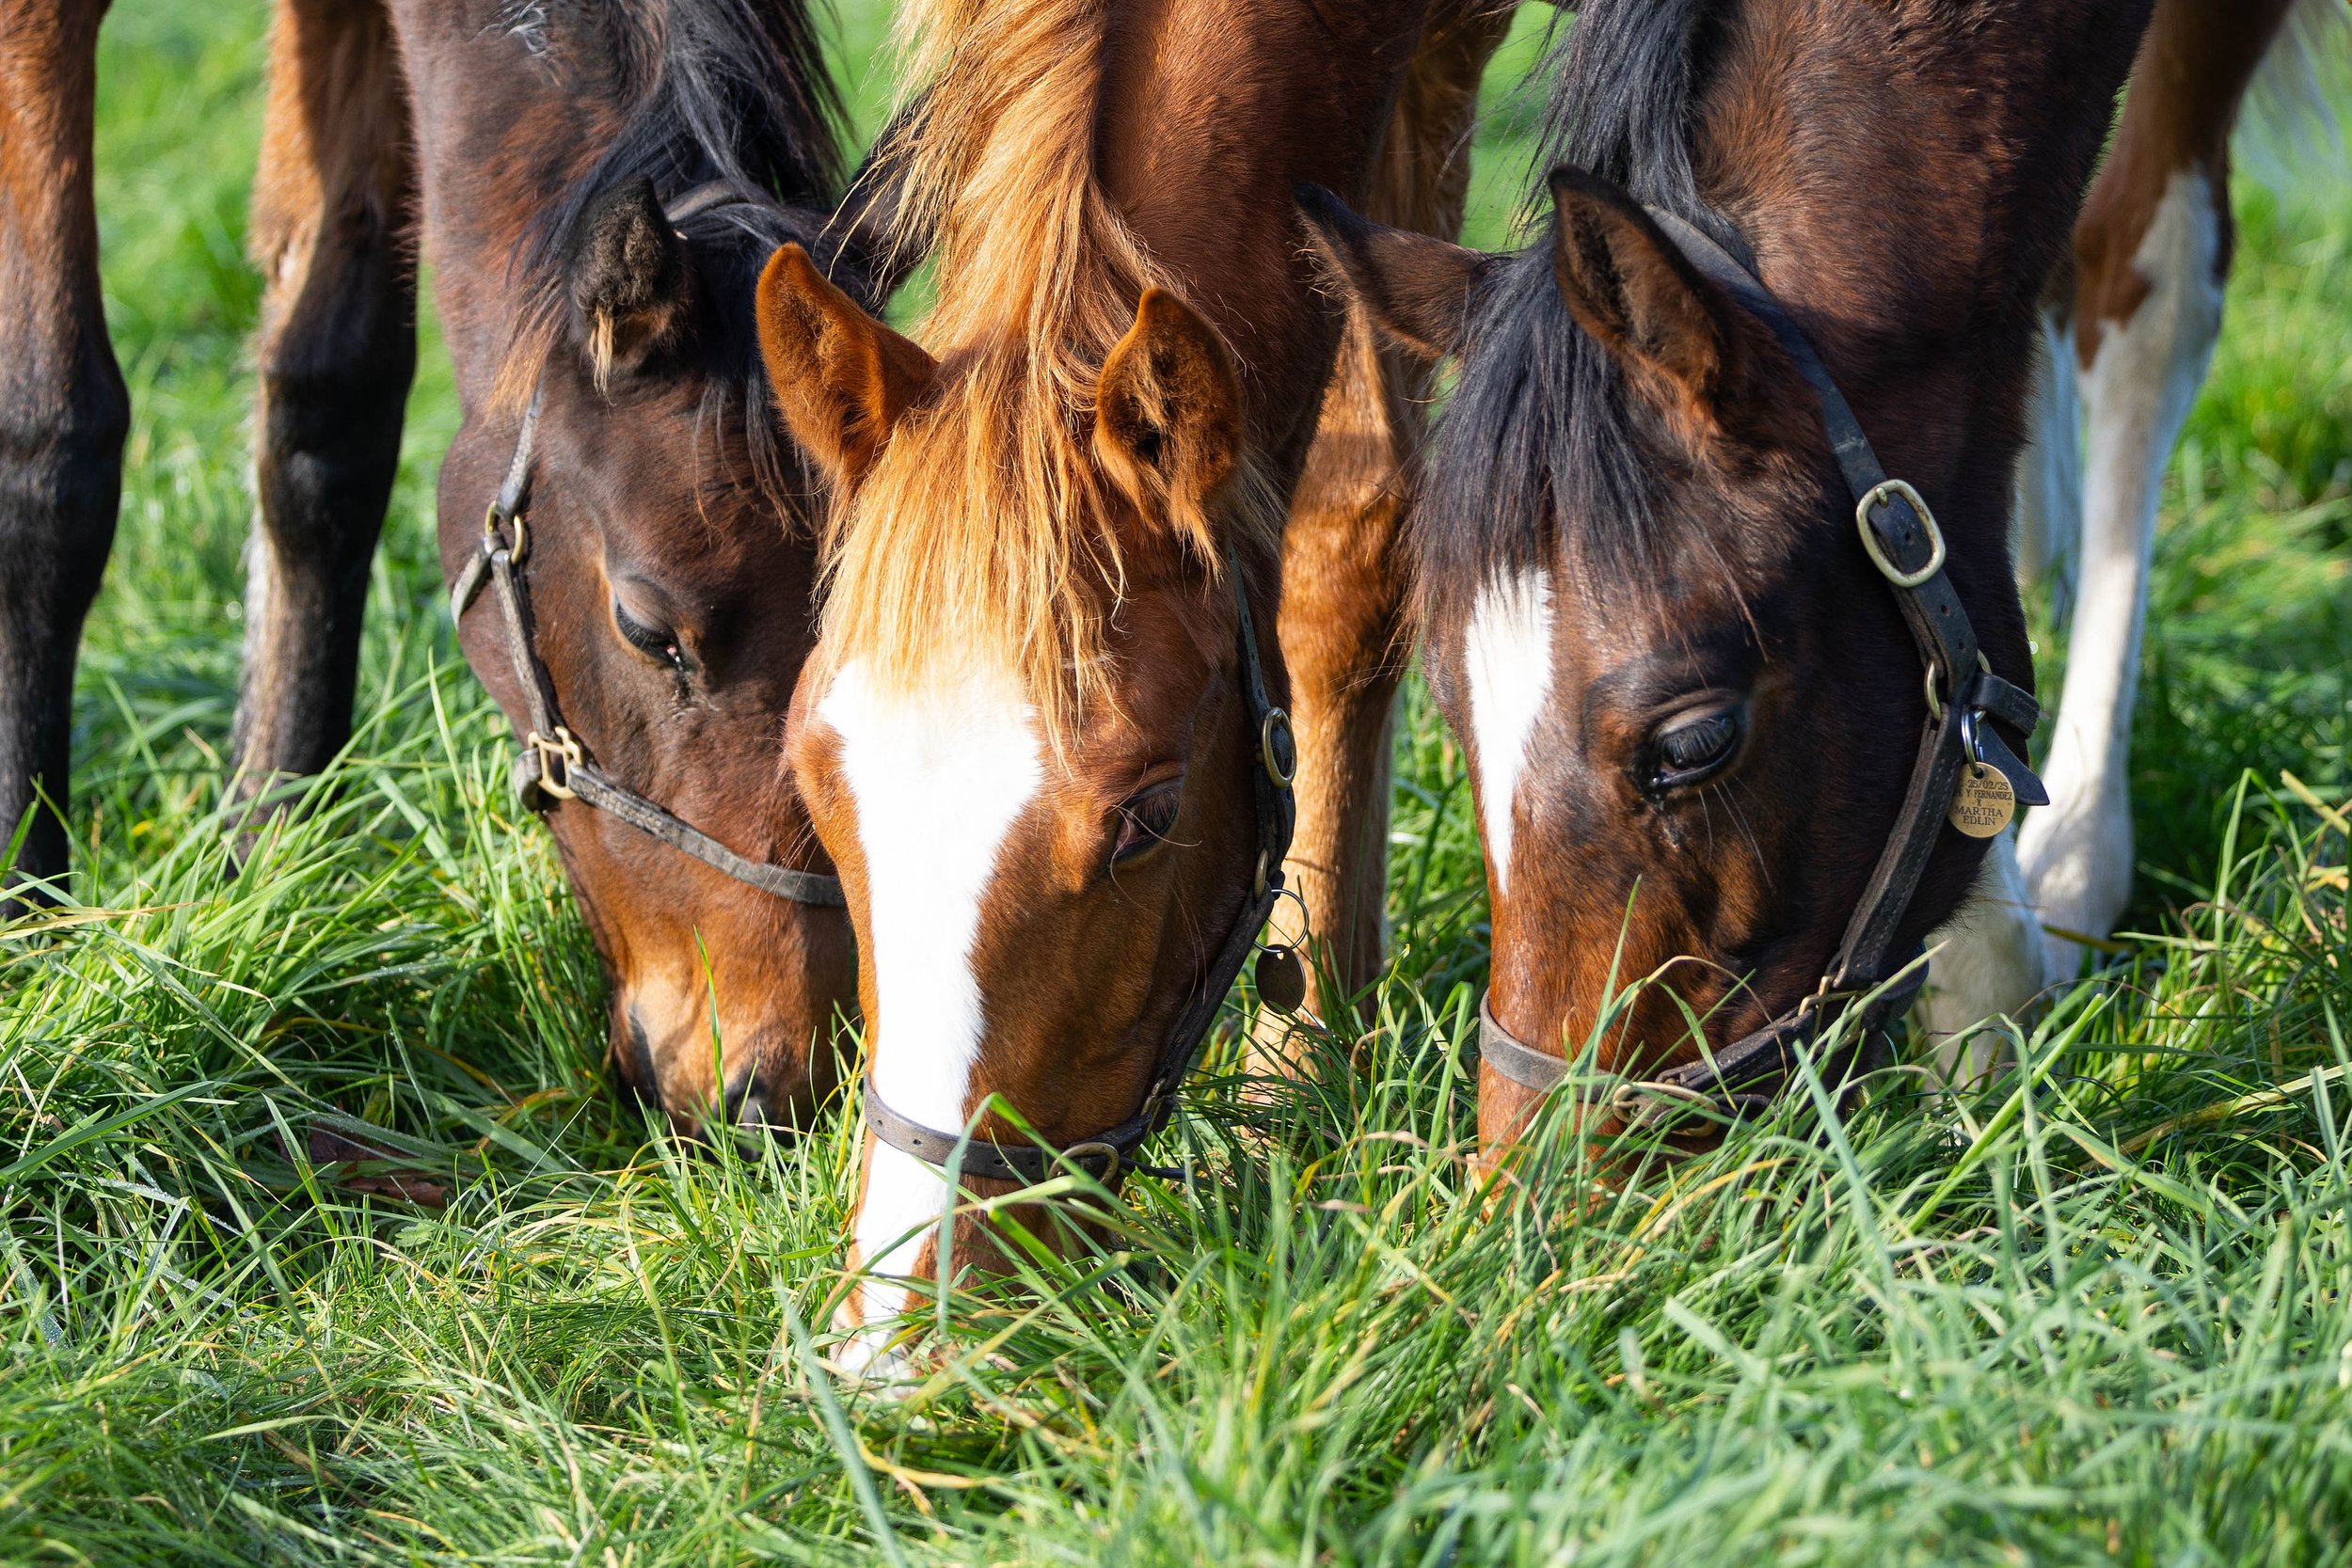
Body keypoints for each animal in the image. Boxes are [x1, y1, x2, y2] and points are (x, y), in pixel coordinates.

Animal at [1, 0, 867, 1129]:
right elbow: (52, 441)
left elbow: (329, 401)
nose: (777, 1092)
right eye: (646, 628)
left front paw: (273, 854)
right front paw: (26, 909)